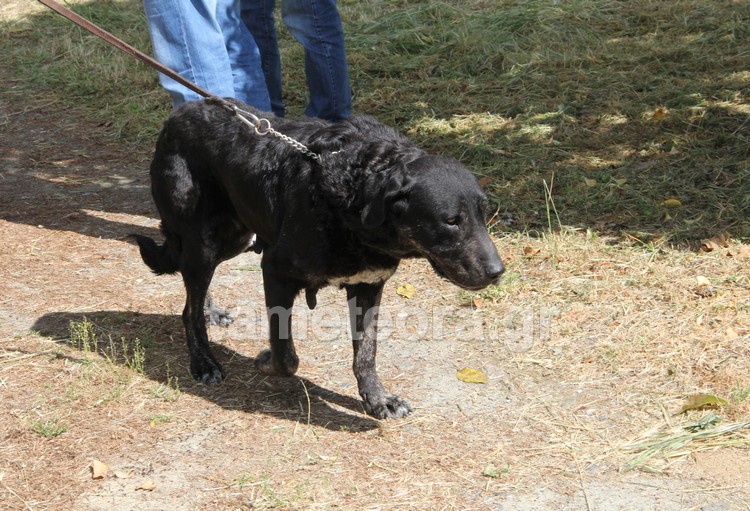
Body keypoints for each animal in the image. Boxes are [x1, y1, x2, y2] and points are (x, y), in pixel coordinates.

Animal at [135, 100, 506, 420]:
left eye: (484, 214)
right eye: (451, 221)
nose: (497, 272)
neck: (349, 195)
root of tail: (179, 112)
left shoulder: (369, 286)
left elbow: (366, 353)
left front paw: (377, 399)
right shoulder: (275, 271)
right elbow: (286, 355)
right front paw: (265, 360)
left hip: (237, 236)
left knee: (194, 288)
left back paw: (211, 311)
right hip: (205, 240)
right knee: (189, 308)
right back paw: (204, 362)